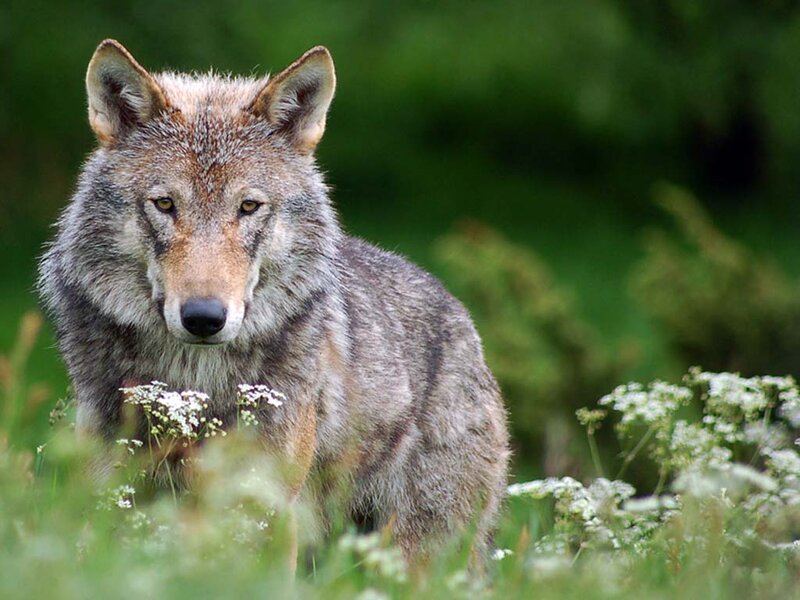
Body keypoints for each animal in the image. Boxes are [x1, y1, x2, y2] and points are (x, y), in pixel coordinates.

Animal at [38, 39, 509, 563]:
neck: (192, 384)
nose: (204, 318)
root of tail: (461, 317)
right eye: (164, 204)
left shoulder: (266, 507)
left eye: (248, 207)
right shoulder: (110, 494)